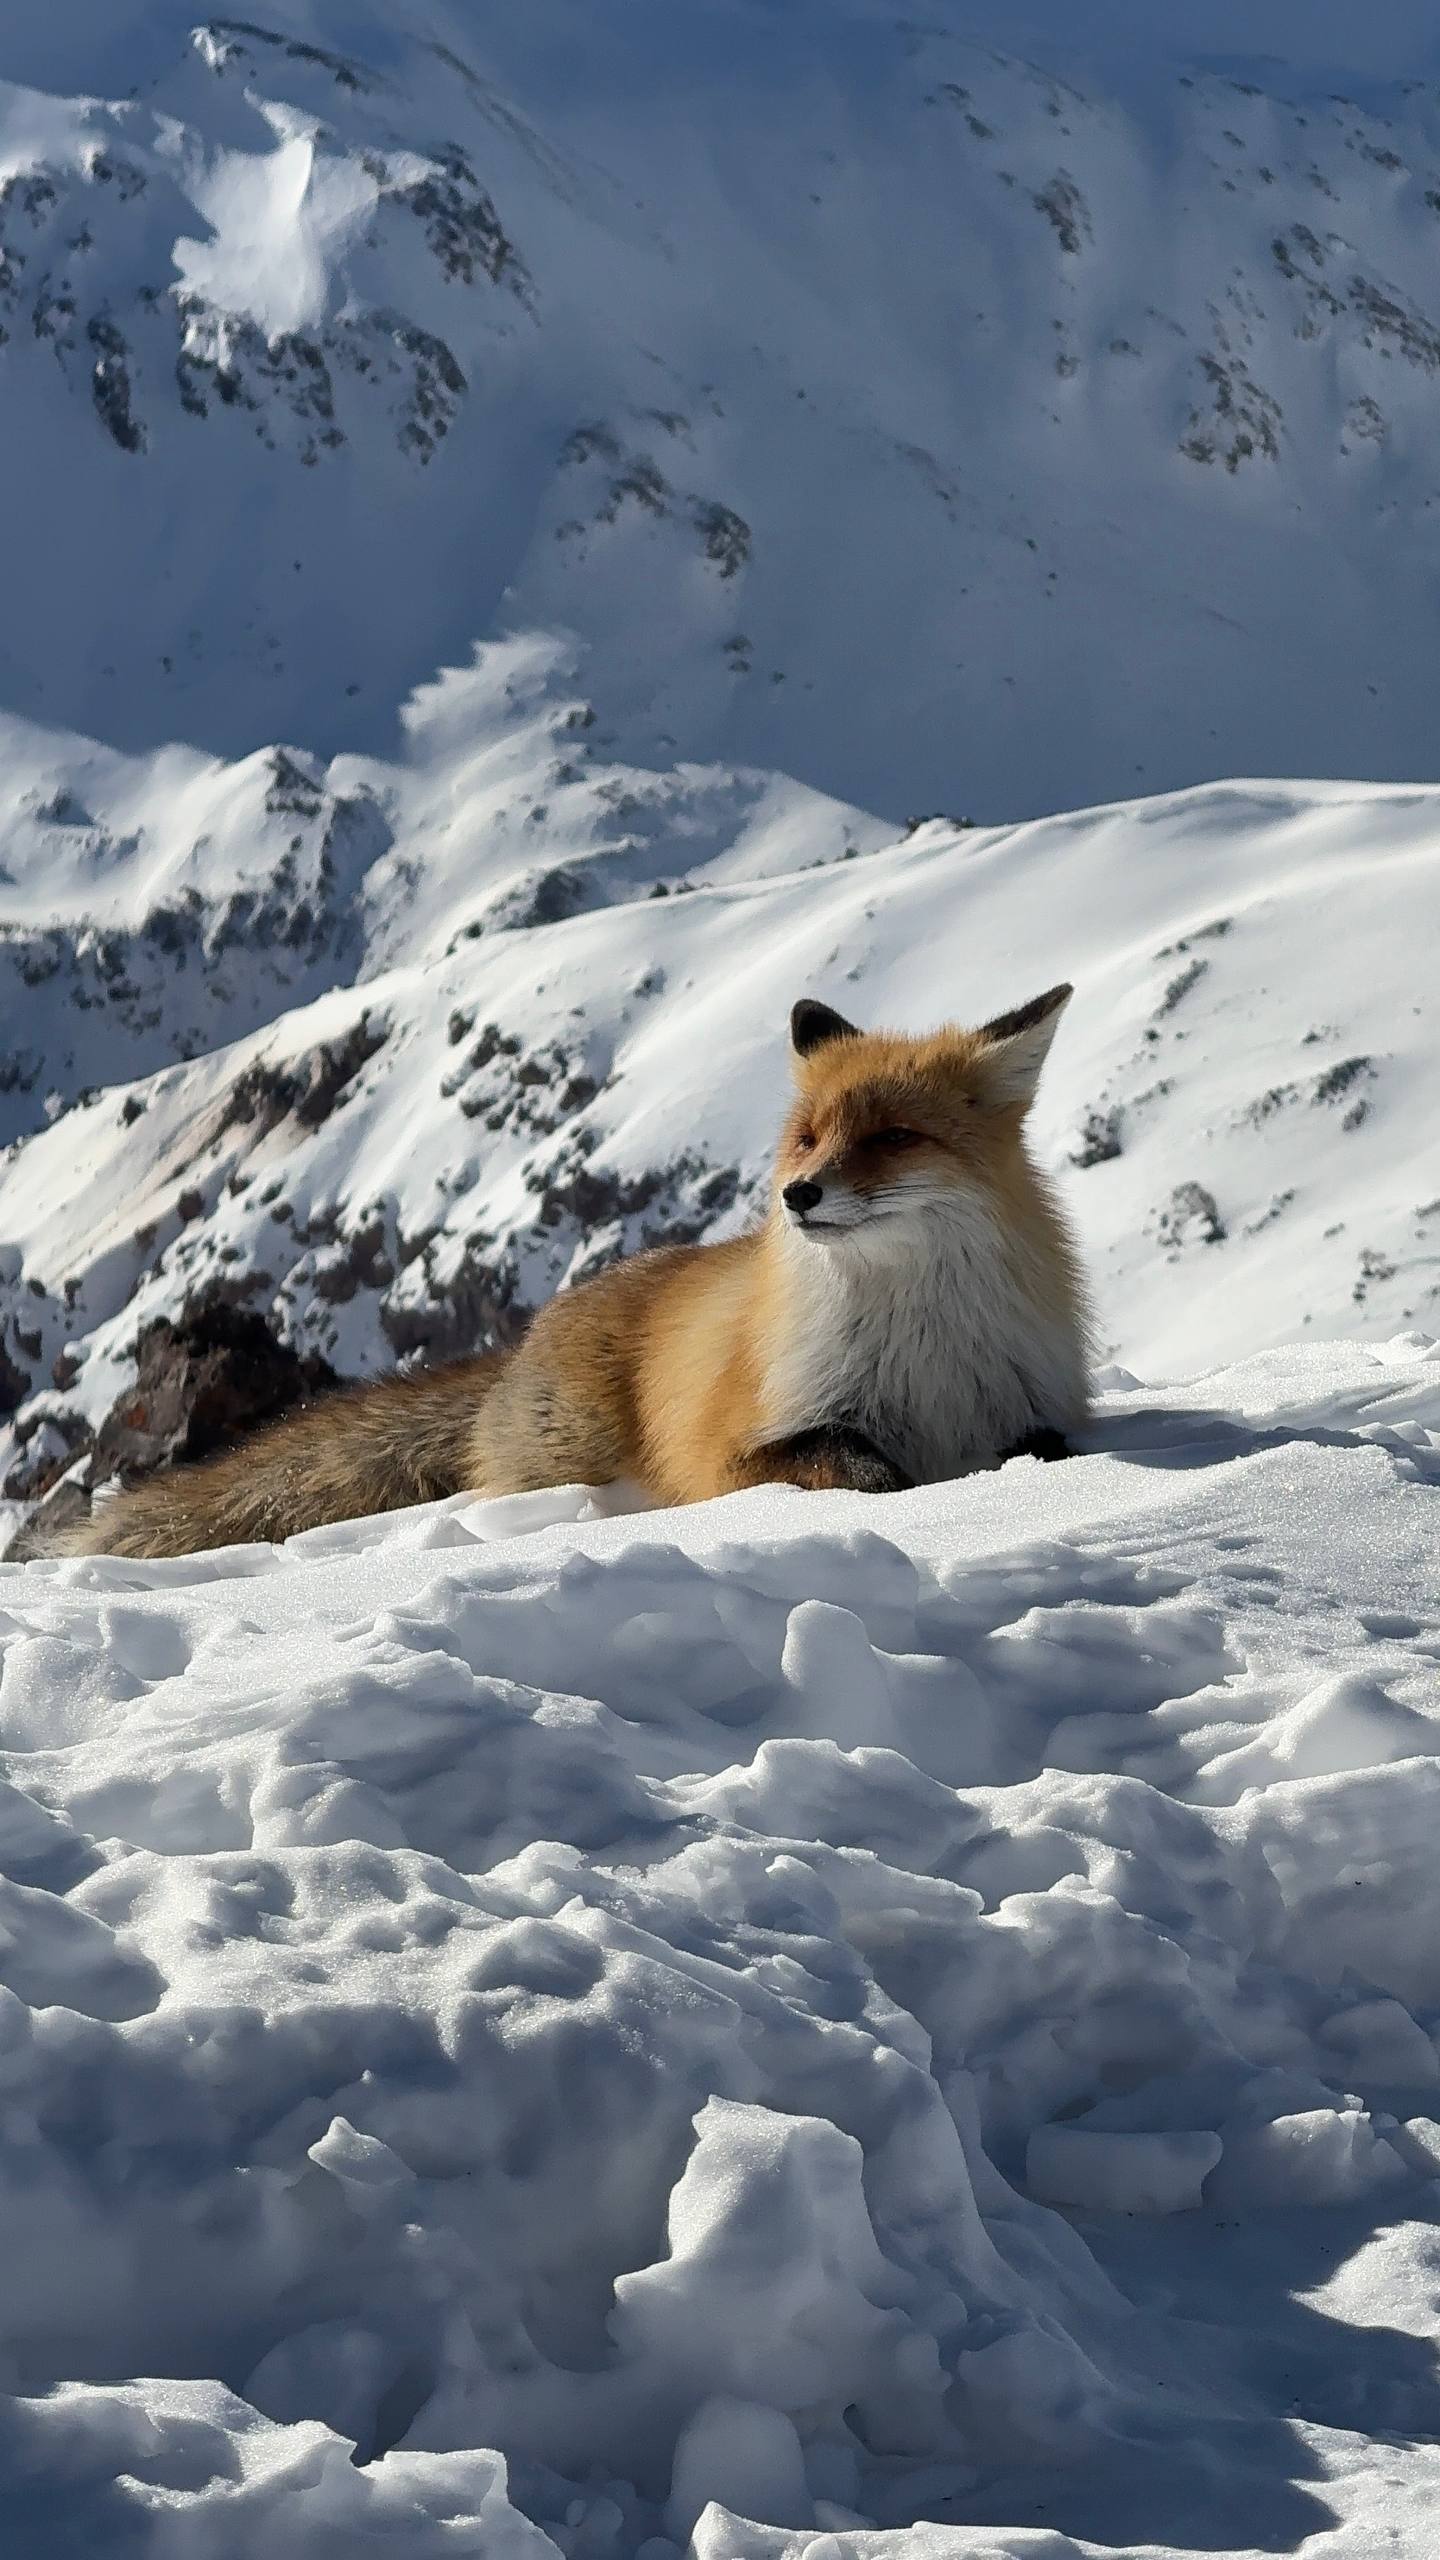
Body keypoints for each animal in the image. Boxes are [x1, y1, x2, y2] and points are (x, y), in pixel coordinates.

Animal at [49, 983, 1089, 1560]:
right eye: (808, 1137)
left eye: (893, 1138)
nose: (798, 1196)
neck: (921, 1349)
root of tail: (528, 1338)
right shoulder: (738, 1451)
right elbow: (863, 1468)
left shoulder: (1032, 1407)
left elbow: (1045, 1452)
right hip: (567, 1456)